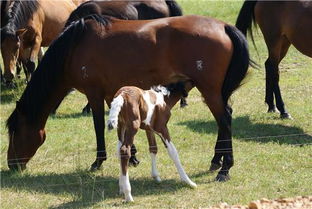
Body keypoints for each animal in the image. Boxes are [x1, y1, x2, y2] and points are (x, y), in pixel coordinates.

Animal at [6, 14, 251, 181]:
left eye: (15, 131)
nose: (11, 165)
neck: (74, 47)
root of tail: (224, 26)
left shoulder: (94, 94)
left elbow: (98, 127)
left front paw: (98, 162)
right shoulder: (111, 94)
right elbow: (121, 126)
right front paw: (132, 157)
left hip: (209, 90)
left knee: (225, 120)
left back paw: (225, 168)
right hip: (215, 92)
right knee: (224, 119)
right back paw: (216, 160)